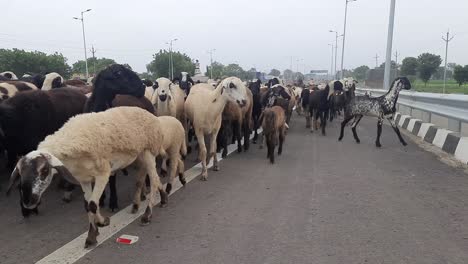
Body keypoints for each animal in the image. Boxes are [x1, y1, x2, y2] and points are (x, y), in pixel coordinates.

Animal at [6, 106, 166, 248]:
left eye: (44, 170)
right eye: (20, 174)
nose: (27, 202)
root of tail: (151, 115)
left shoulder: (103, 173)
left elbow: (93, 204)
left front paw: (102, 223)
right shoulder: (84, 179)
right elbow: (87, 205)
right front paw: (92, 235)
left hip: (148, 151)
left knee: (154, 180)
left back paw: (147, 214)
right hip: (139, 155)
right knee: (146, 179)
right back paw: (157, 199)